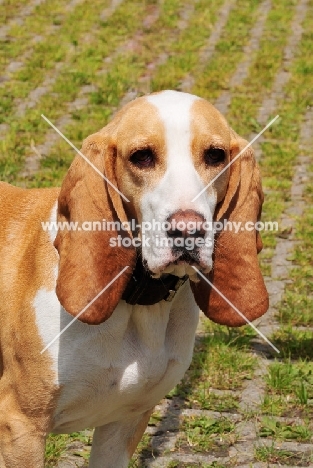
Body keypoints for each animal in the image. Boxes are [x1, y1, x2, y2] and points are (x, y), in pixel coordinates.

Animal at [0, 91, 268, 468]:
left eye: (215, 155)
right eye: (141, 157)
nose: (188, 231)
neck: (135, 299)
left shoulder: (124, 423)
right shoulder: (21, 428)